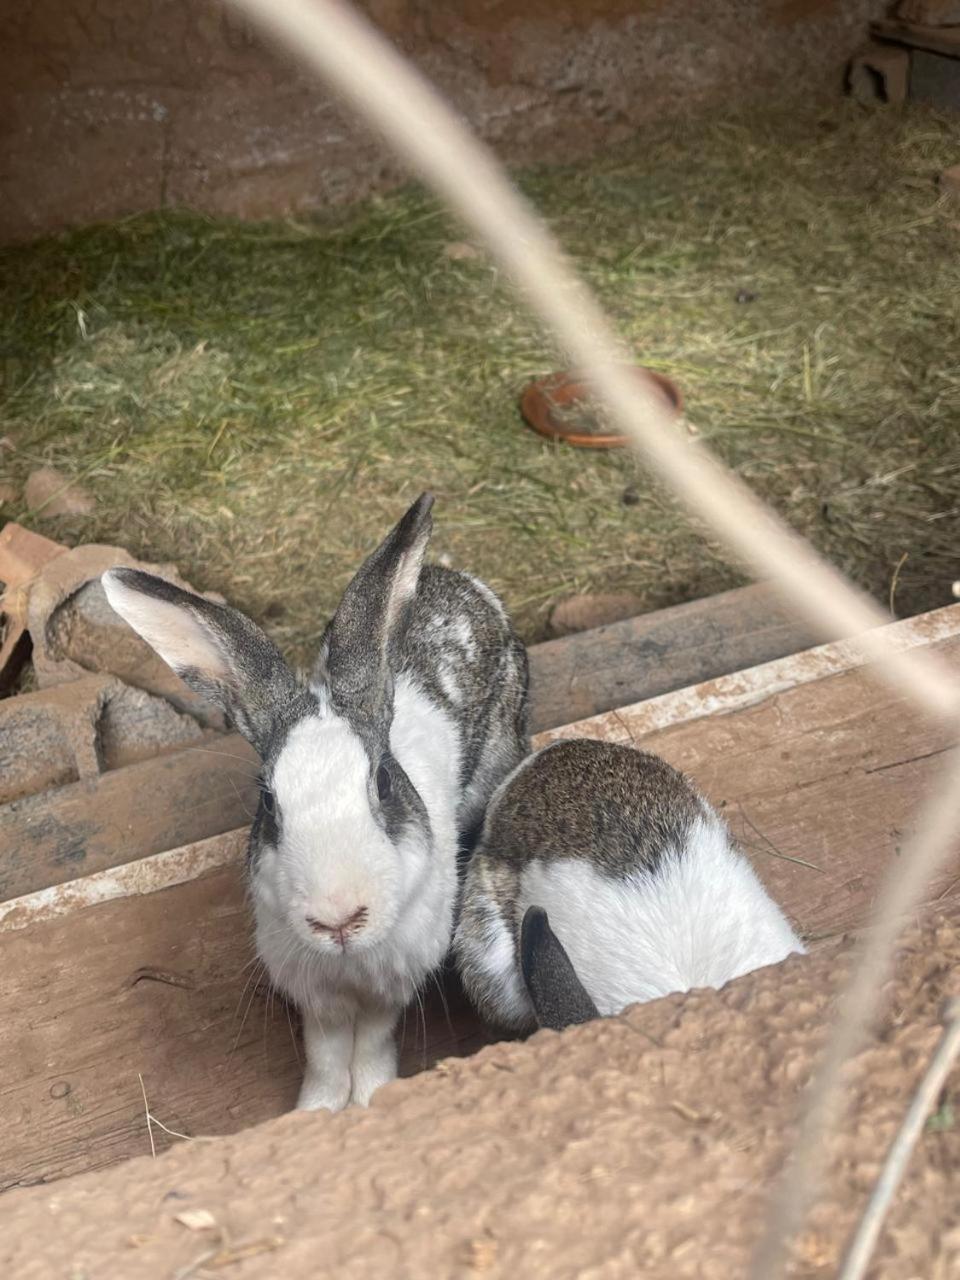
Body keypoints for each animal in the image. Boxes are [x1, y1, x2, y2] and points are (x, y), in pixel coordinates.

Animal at [103, 491, 535, 1111]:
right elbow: (327, 1054)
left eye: (384, 782)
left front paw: (371, 1098)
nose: (338, 919)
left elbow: (370, 1043)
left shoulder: (389, 986)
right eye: (267, 802)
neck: (346, 961)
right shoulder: (314, 992)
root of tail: (463, 581)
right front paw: (318, 1110)